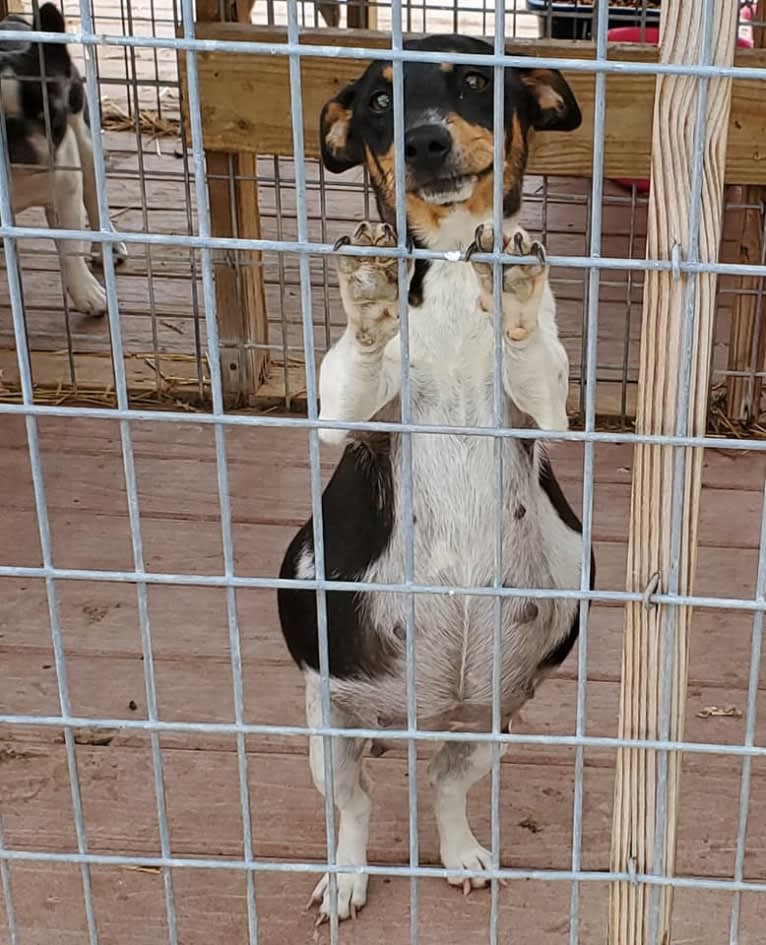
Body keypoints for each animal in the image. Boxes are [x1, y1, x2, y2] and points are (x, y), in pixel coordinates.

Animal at [278, 37, 600, 920]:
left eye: (474, 82)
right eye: (379, 102)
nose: (424, 141)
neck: (454, 270)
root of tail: (419, 717)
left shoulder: (546, 405)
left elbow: (530, 348)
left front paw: (515, 289)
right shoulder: (343, 411)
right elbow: (357, 359)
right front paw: (367, 294)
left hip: (491, 717)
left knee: (445, 784)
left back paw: (460, 851)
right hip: (328, 725)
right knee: (356, 806)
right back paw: (346, 876)